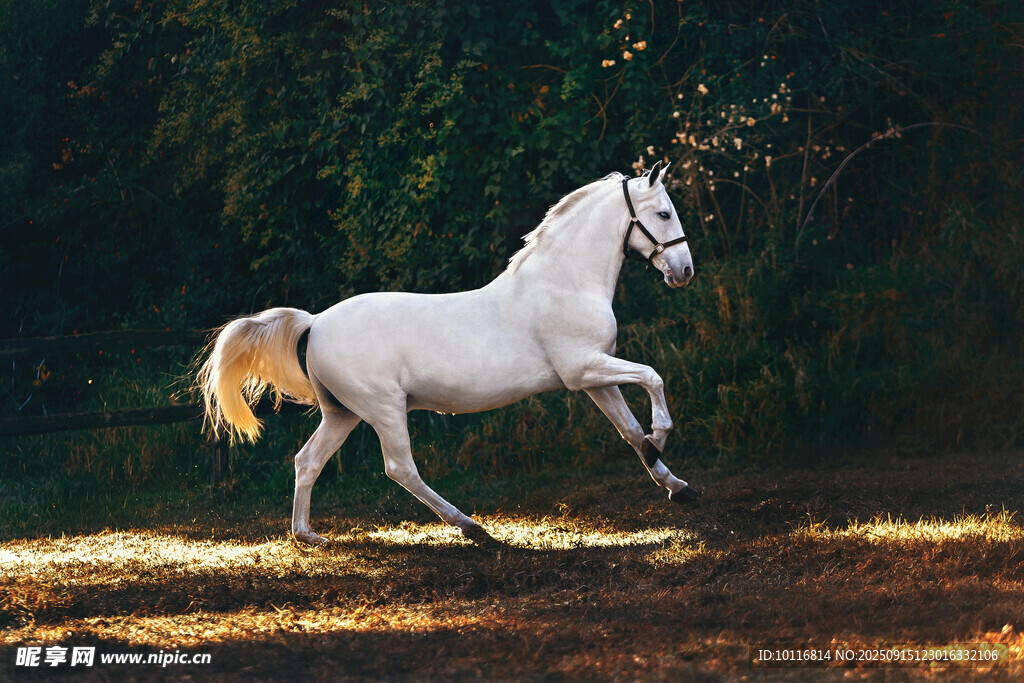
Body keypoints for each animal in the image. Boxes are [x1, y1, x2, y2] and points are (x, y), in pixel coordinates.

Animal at [197, 161, 701, 546]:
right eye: (663, 213)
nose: (684, 272)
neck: (565, 283)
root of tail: (316, 322)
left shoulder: (596, 378)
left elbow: (630, 431)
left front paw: (675, 484)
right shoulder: (584, 370)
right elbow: (652, 378)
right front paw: (662, 436)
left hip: (343, 413)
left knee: (308, 461)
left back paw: (308, 535)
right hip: (383, 408)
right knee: (400, 468)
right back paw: (472, 528)